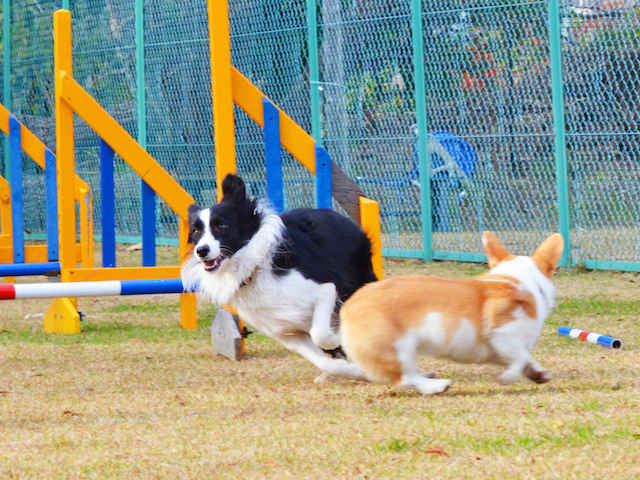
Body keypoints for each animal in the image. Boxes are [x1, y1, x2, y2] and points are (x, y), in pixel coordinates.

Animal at [180, 174, 378, 380]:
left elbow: (321, 333)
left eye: (222, 226)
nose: (201, 251)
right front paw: (351, 370)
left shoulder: (325, 290)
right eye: (196, 231)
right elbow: (325, 360)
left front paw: (338, 338)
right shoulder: (287, 333)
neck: (252, 270)